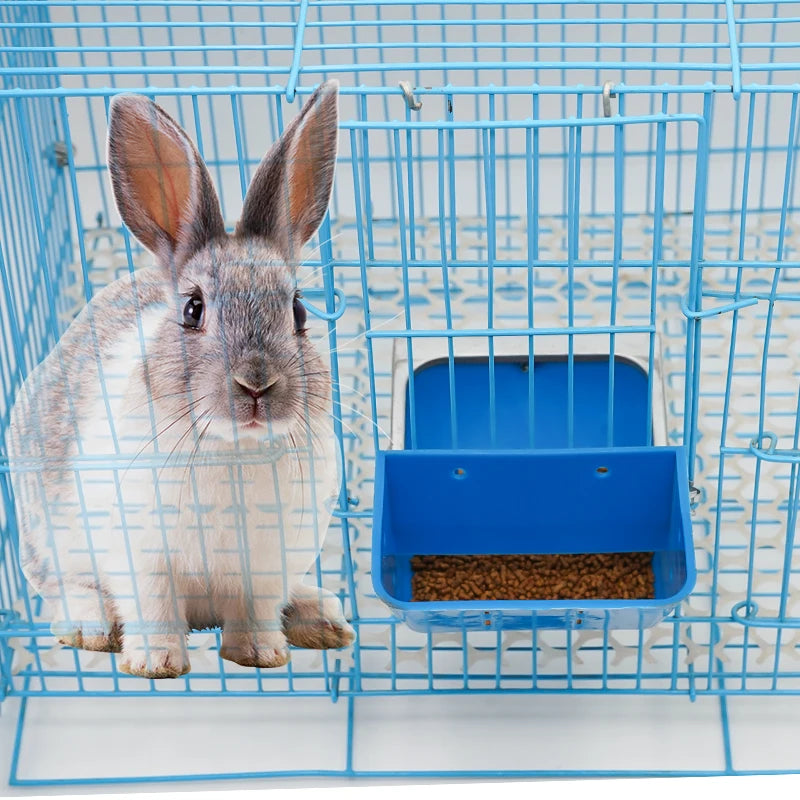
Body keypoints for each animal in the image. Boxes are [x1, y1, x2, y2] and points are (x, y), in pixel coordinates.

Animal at [4, 79, 355, 678]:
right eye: (193, 310)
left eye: (298, 312)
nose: (256, 384)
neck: (232, 446)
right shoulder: (141, 559)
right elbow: (154, 608)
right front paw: (156, 663)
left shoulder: (267, 567)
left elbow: (256, 611)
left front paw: (260, 655)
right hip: (45, 533)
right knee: (65, 587)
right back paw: (91, 627)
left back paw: (322, 618)